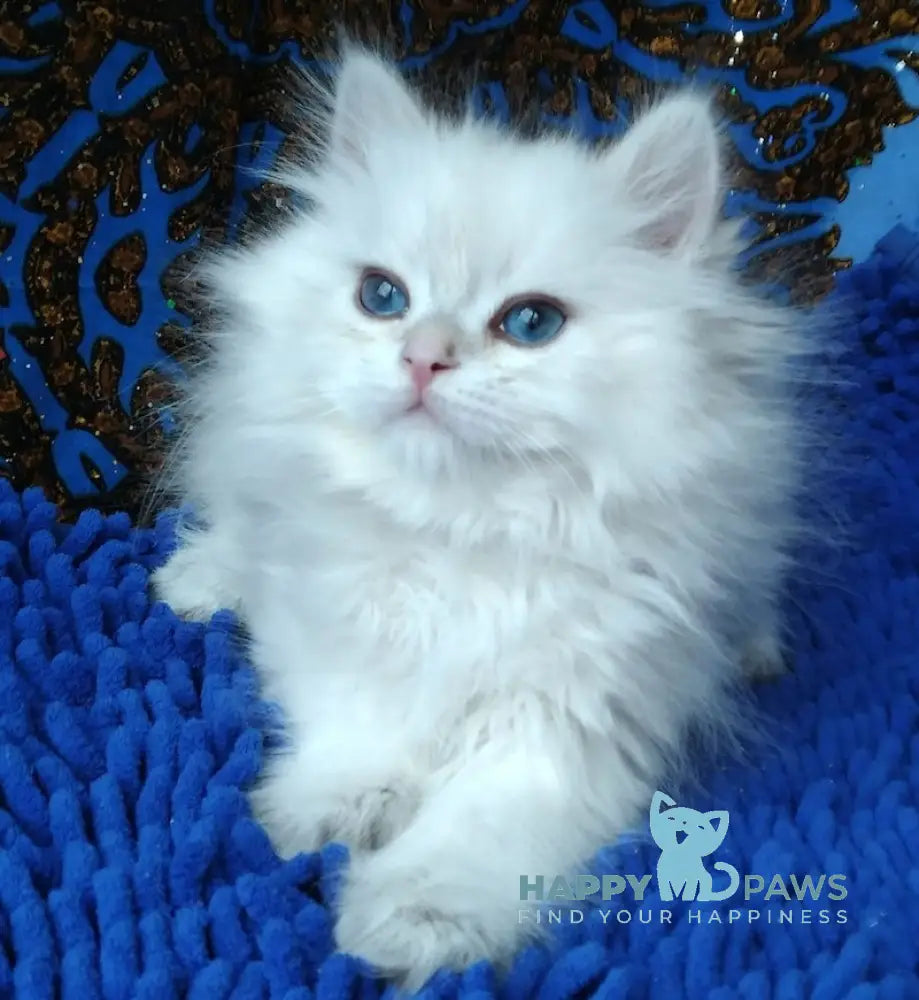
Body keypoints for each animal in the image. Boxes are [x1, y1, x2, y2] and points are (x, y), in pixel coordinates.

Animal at [155, 48, 808, 992]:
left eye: (530, 322)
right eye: (382, 297)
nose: (422, 357)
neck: (461, 532)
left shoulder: (570, 719)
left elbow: (477, 829)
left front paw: (410, 922)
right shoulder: (342, 632)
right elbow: (361, 729)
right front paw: (327, 813)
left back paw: (753, 647)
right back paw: (197, 579)